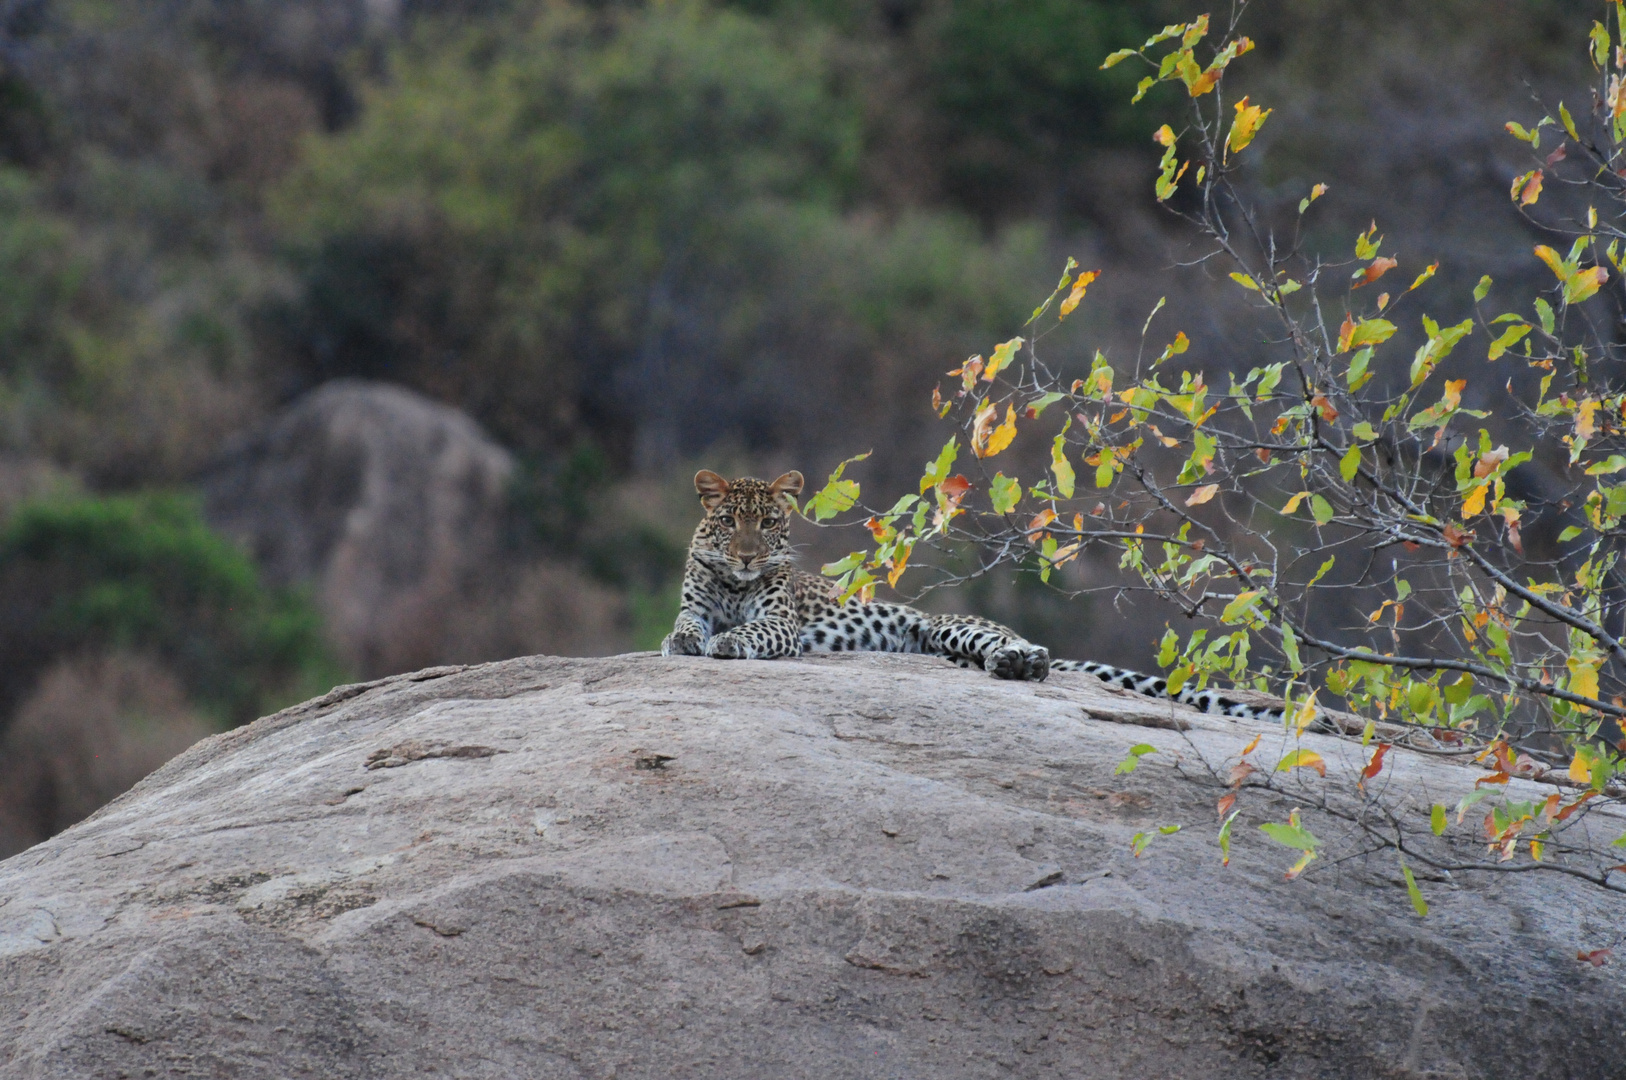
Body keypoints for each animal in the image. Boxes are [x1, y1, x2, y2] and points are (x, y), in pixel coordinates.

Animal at [660, 468, 1294, 722]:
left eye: (769, 523)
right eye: (730, 523)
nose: (748, 556)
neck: (732, 581)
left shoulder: (780, 623)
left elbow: (749, 628)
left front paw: (727, 644)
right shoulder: (694, 605)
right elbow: (686, 626)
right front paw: (682, 643)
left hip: (948, 626)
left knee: (1021, 647)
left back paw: (1023, 660)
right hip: (941, 648)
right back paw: (1011, 666)